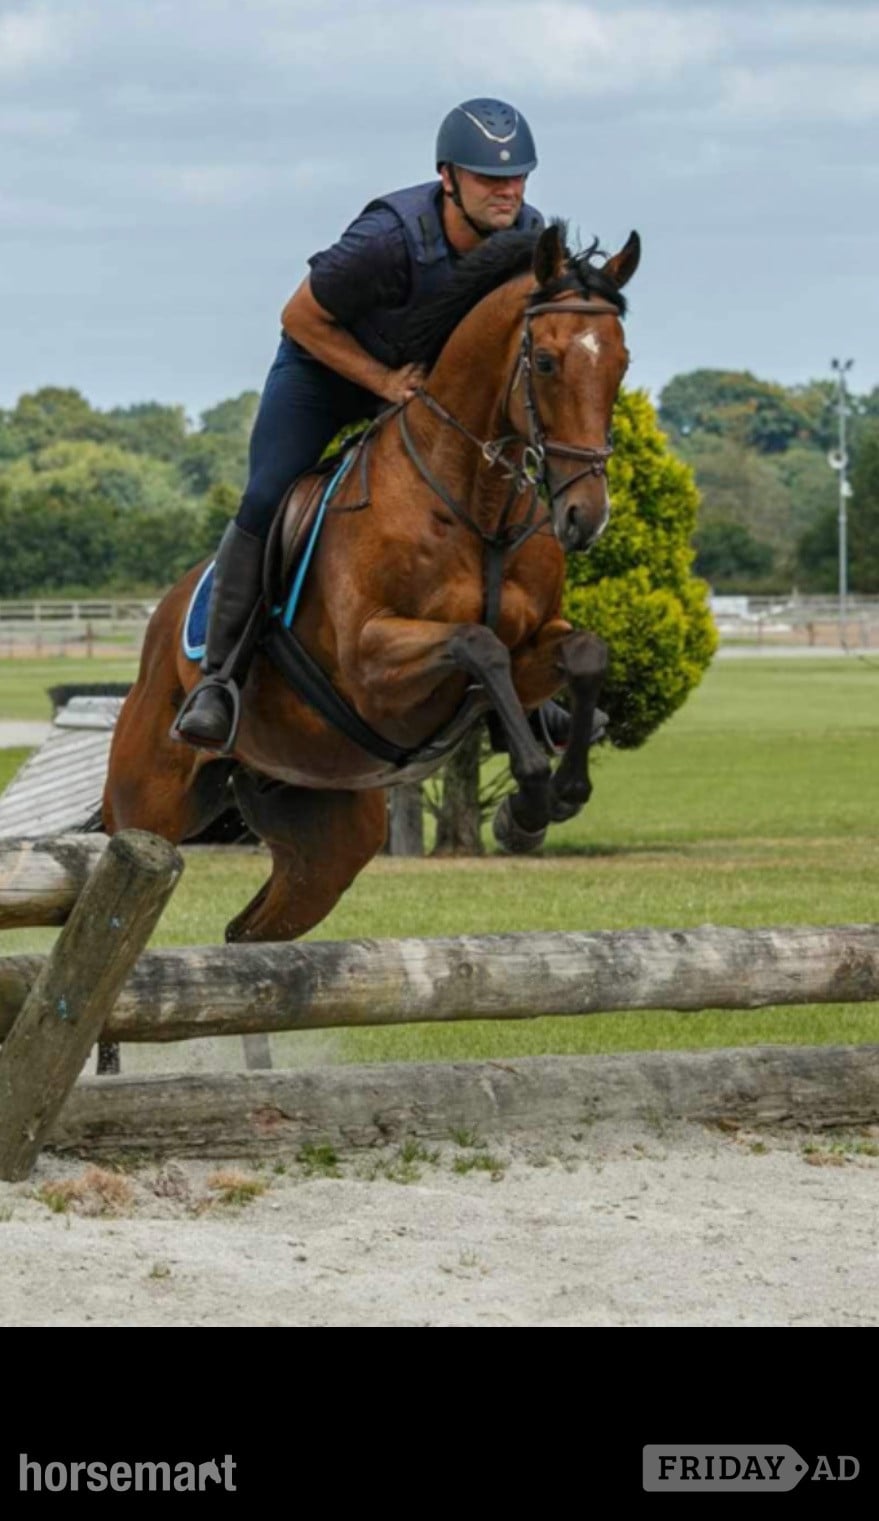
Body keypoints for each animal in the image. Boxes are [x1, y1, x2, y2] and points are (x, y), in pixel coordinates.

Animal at [103, 219, 639, 950]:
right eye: (549, 363)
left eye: (621, 363)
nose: (586, 516)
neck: (478, 503)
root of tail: (160, 627)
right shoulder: (371, 665)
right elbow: (477, 644)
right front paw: (531, 794)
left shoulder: (536, 644)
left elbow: (584, 652)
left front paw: (551, 800)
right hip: (148, 804)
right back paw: (207, 706)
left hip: (327, 832)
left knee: (252, 931)